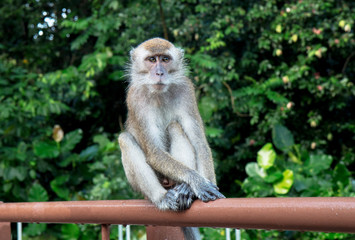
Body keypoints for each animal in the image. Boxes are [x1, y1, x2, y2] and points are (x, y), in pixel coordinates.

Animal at [119, 37, 225, 214]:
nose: (159, 73)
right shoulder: (135, 97)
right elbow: (155, 152)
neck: (160, 94)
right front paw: (197, 181)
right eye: (152, 60)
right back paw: (161, 197)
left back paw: (184, 188)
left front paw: (201, 183)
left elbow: (200, 145)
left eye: (165, 59)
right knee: (124, 139)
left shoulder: (186, 91)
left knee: (175, 126)